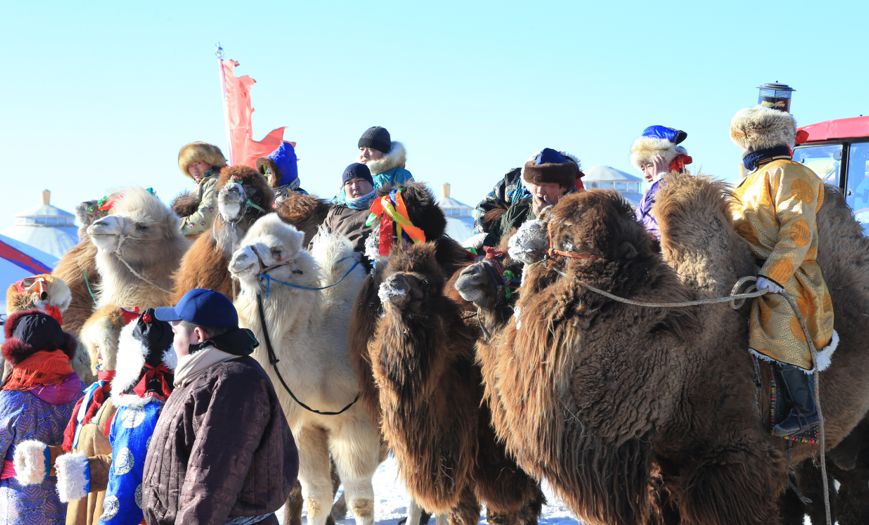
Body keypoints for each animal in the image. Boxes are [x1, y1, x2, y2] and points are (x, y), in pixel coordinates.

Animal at [231, 212, 380, 524]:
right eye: (246, 239)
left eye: (277, 251)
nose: (238, 259)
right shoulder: (306, 427)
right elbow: (316, 497)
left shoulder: (358, 426)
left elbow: (361, 501)